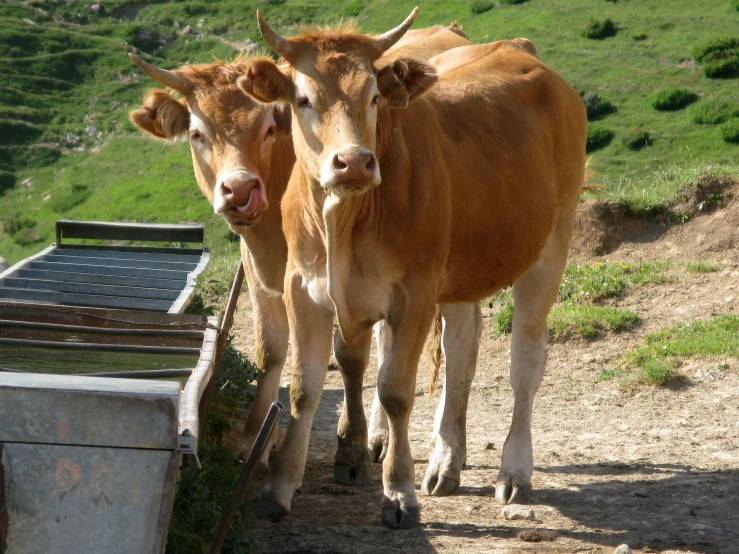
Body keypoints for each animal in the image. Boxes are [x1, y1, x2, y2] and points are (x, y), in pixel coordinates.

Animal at [130, 25, 482, 492]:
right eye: (198, 134)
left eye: (267, 127)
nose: (240, 190)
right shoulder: (264, 275)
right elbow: (272, 351)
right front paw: (254, 445)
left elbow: (345, 354)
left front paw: (345, 448)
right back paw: (381, 438)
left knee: (459, 338)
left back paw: (446, 456)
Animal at [240, 8, 588, 528]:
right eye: (303, 99)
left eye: (374, 97)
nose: (353, 162)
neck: (344, 219)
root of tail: (518, 48)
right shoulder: (303, 288)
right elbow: (304, 389)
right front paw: (278, 489)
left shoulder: (414, 294)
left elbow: (395, 393)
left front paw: (398, 493)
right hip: (463, 265)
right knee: (462, 344)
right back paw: (446, 461)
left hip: (551, 241)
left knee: (526, 355)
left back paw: (514, 470)